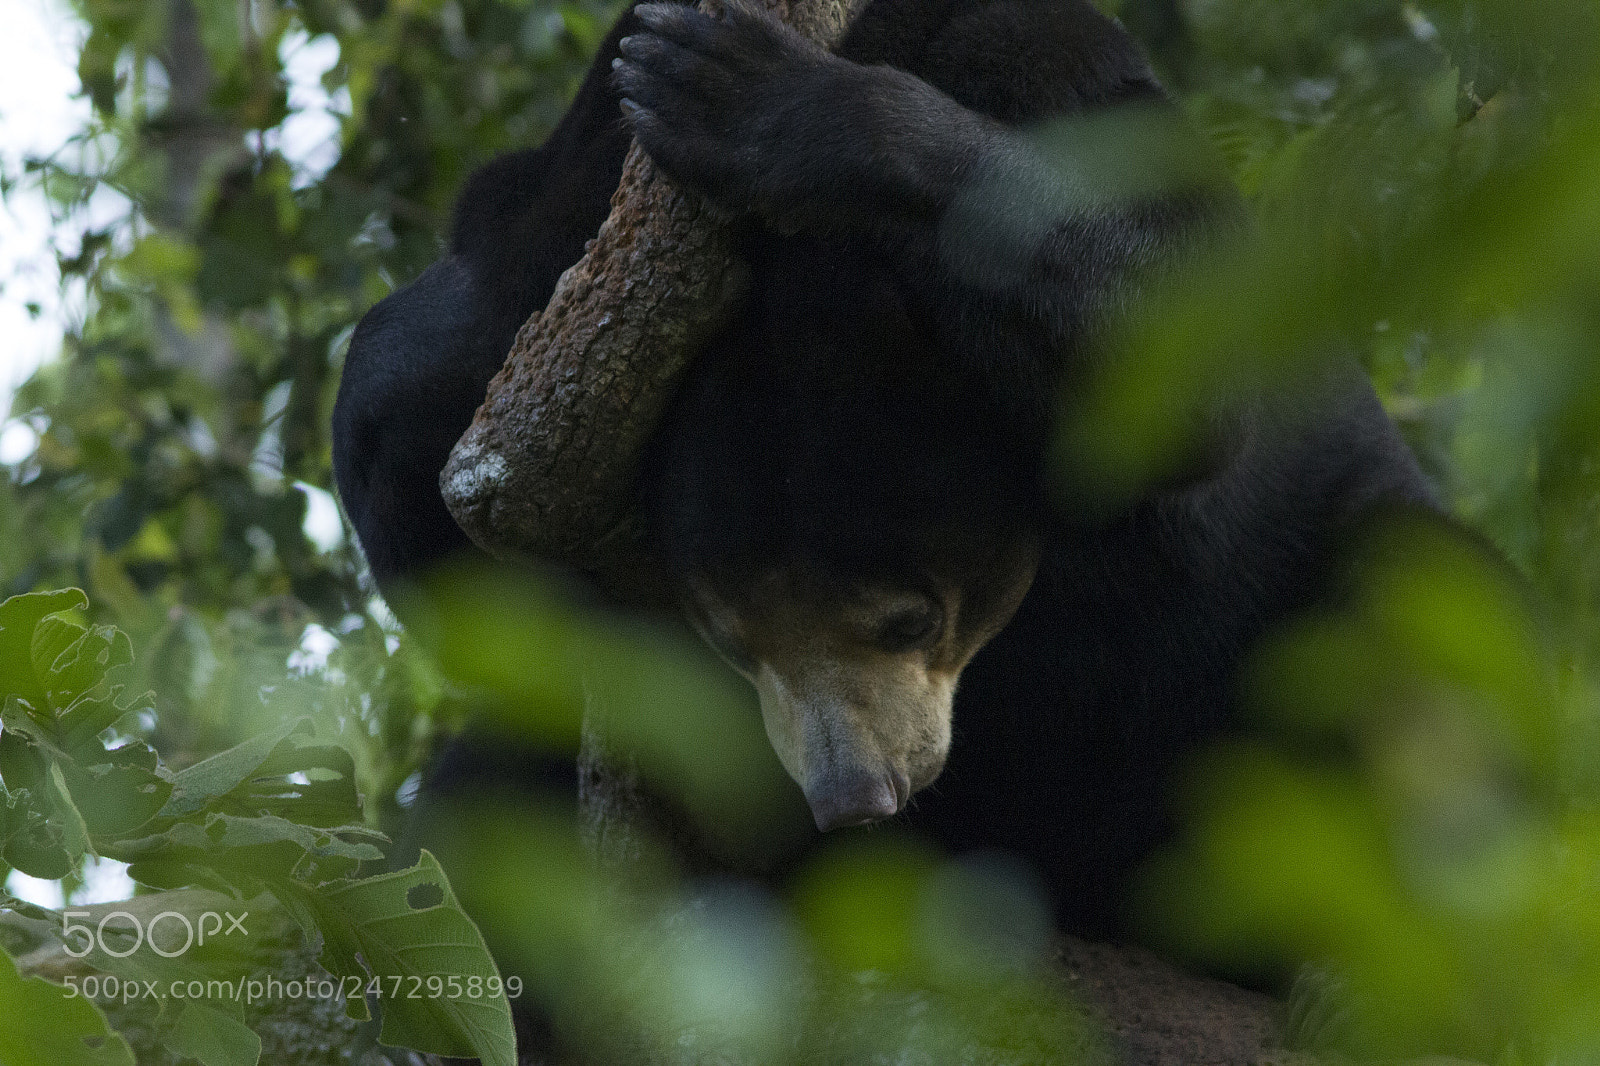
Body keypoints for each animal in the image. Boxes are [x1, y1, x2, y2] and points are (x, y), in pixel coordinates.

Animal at [333, 0, 1437, 964]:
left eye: (912, 619)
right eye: (731, 643)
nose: (853, 798)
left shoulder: (1068, 81)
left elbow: (1182, 345)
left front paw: (743, 95)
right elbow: (420, 453)